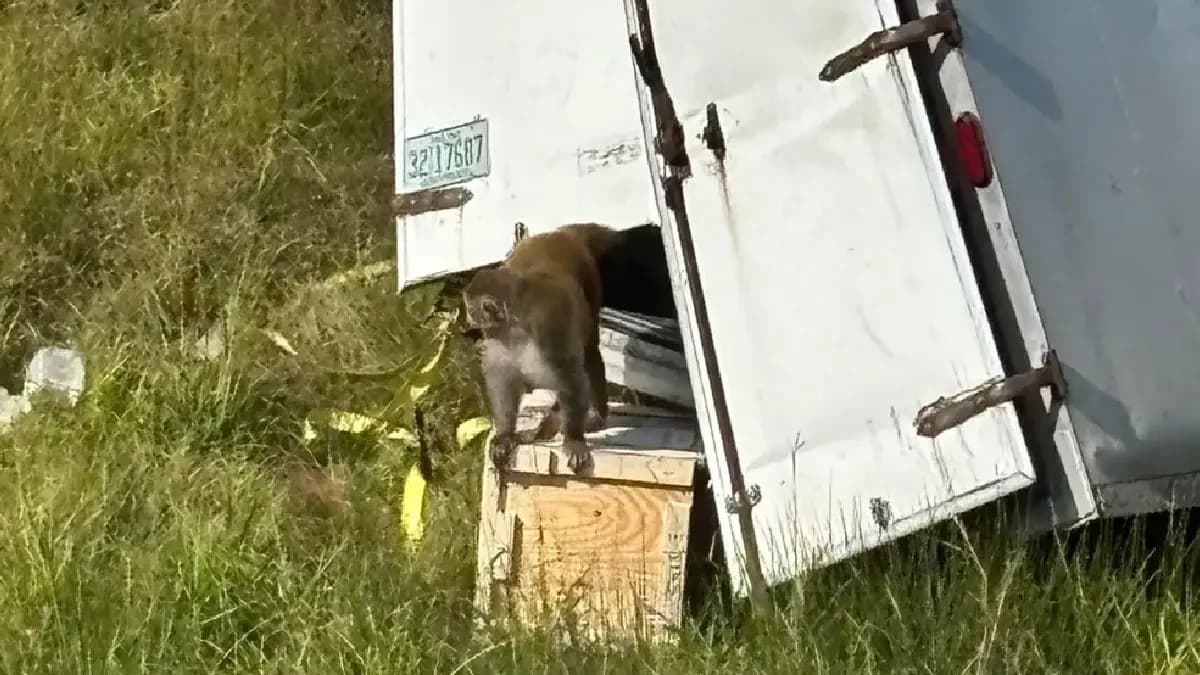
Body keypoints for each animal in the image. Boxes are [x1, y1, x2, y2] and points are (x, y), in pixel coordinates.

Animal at [462, 223, 626, 474]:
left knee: (589, 353)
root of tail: (559, 233)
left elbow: (571, 381)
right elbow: (503, 385)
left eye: (471, 308)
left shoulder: (549, 329)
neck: (515, 328)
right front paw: (505, 435)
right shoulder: (498, 342)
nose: (467, 318)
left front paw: (574, 440)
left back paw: (596, 415)